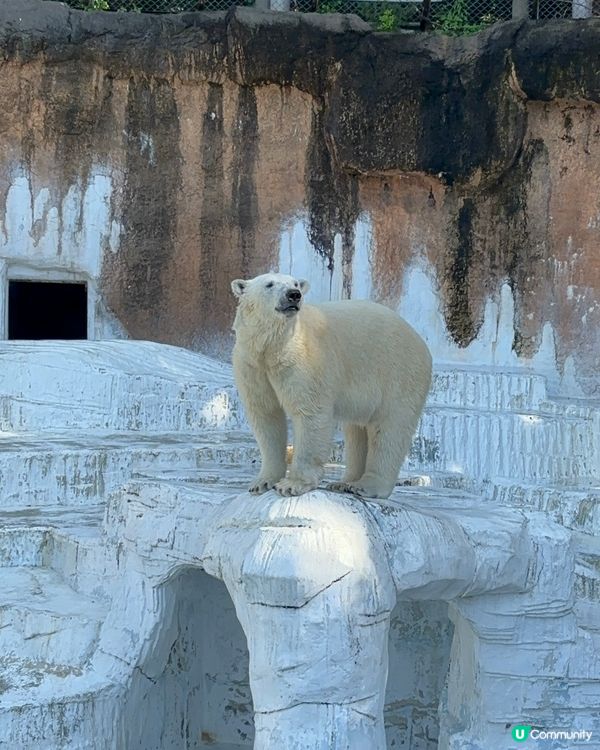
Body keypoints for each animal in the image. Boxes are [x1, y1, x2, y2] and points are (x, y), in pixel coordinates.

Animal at [230, 272, 432, 499]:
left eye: (295, 283)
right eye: (269, 284)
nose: (294, 295)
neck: (272, 348)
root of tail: (421, 342)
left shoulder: (305, 361)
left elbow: (310, 414)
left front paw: (292, 485)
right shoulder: (252, 365)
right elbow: (266, 415)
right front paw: (262, 482)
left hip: (398, 372)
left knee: (390, 428)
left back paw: (367, 486)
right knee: (357, 430)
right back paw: (345, 483)